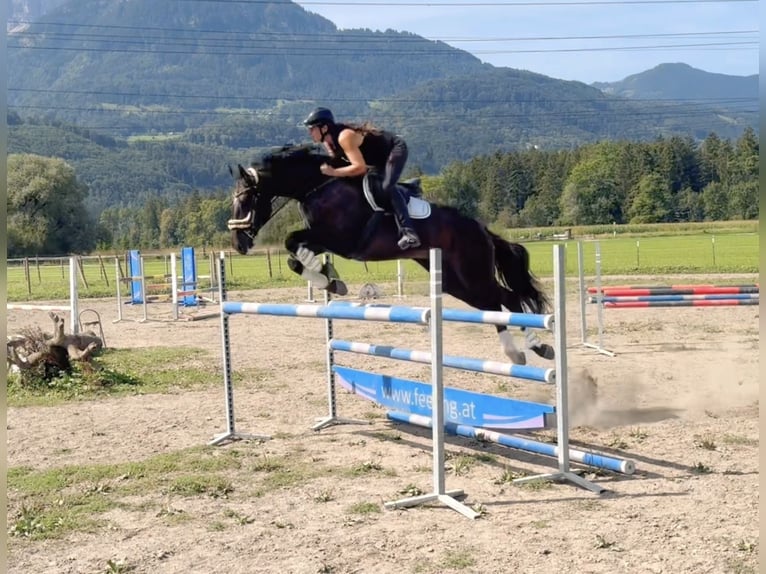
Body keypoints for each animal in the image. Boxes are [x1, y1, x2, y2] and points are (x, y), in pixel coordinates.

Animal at [225, 146, 556, 366]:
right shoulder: (325, 239)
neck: (317, 187)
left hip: (472, 271)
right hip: (455, 282)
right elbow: (295, 253)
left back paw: (531, 348)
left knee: (505, 299)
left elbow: (292, 241)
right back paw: (522, 351)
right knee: (495, 303)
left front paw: (328, 279)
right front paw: (330, 281)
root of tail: (481, 228)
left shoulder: (341, 239)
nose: (238, 243)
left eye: (246, 199)